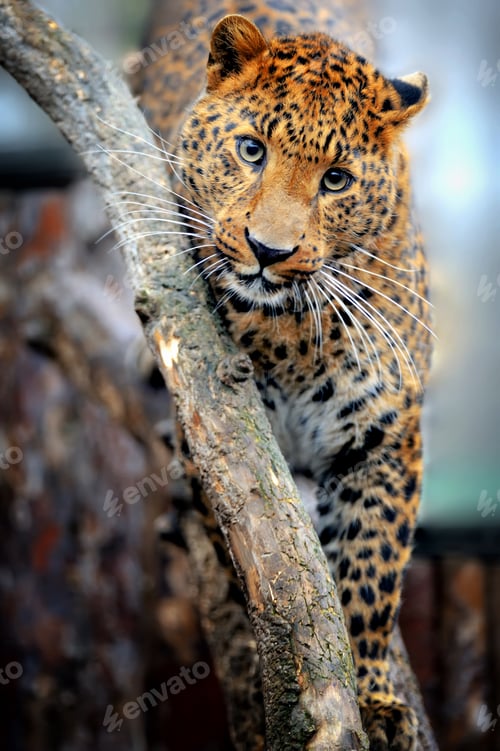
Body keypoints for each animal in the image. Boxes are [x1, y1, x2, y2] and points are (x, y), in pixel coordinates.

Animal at [138, 3, 433, 749]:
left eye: (335, 180)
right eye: (251, 151)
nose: (268, 251)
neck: (291, 328)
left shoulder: (385, 439)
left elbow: (371, 576)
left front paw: (373, 700)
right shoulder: (219, 447)